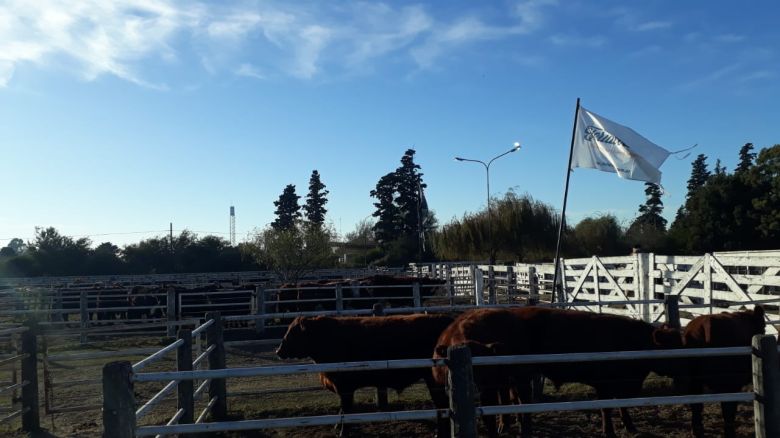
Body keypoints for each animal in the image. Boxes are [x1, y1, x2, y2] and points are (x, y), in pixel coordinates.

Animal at [278, 314, 454, 438]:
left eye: (292, 332)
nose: (278, 351)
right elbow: (342, 410)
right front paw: (337, 426)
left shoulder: (345, 388)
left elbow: (346, 411)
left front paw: (343, 432)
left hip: (434, 381)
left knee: (442, 406)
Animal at [436, 306, 680, 436]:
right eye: (672, 345)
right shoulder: (605, 383)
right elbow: (607, 408)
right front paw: (609, 431)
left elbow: (621, 406)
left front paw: (630, 427)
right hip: (517, 376)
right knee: (519, 400)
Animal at [680, 304, 764, 438]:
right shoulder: (734, 383)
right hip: (726, 381)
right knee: (727, 407)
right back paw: (729, 432)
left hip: (694, 380)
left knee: (696, 405)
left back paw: (697, 431)